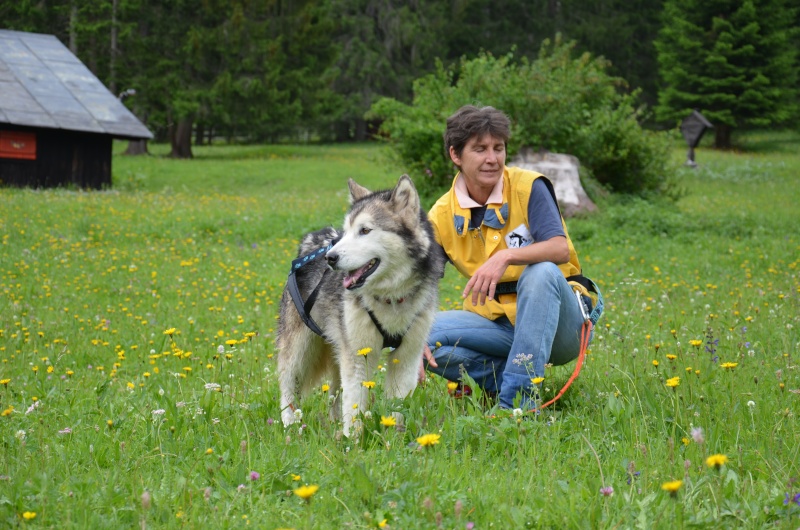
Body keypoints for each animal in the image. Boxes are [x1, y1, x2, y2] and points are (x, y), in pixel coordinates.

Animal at [276, 175, 444, 436]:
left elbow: (397, 405)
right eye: (346, 232)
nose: (330, 258)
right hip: (299, 348)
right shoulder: (357, 357)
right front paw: (351, 441)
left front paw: (393, 437)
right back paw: (290, 424)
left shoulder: (407, 358)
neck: (390, 297)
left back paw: (334, 422)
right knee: (287, 386)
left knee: (335, 392)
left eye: (365, 230)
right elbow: (354, 406)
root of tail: (314, 239)